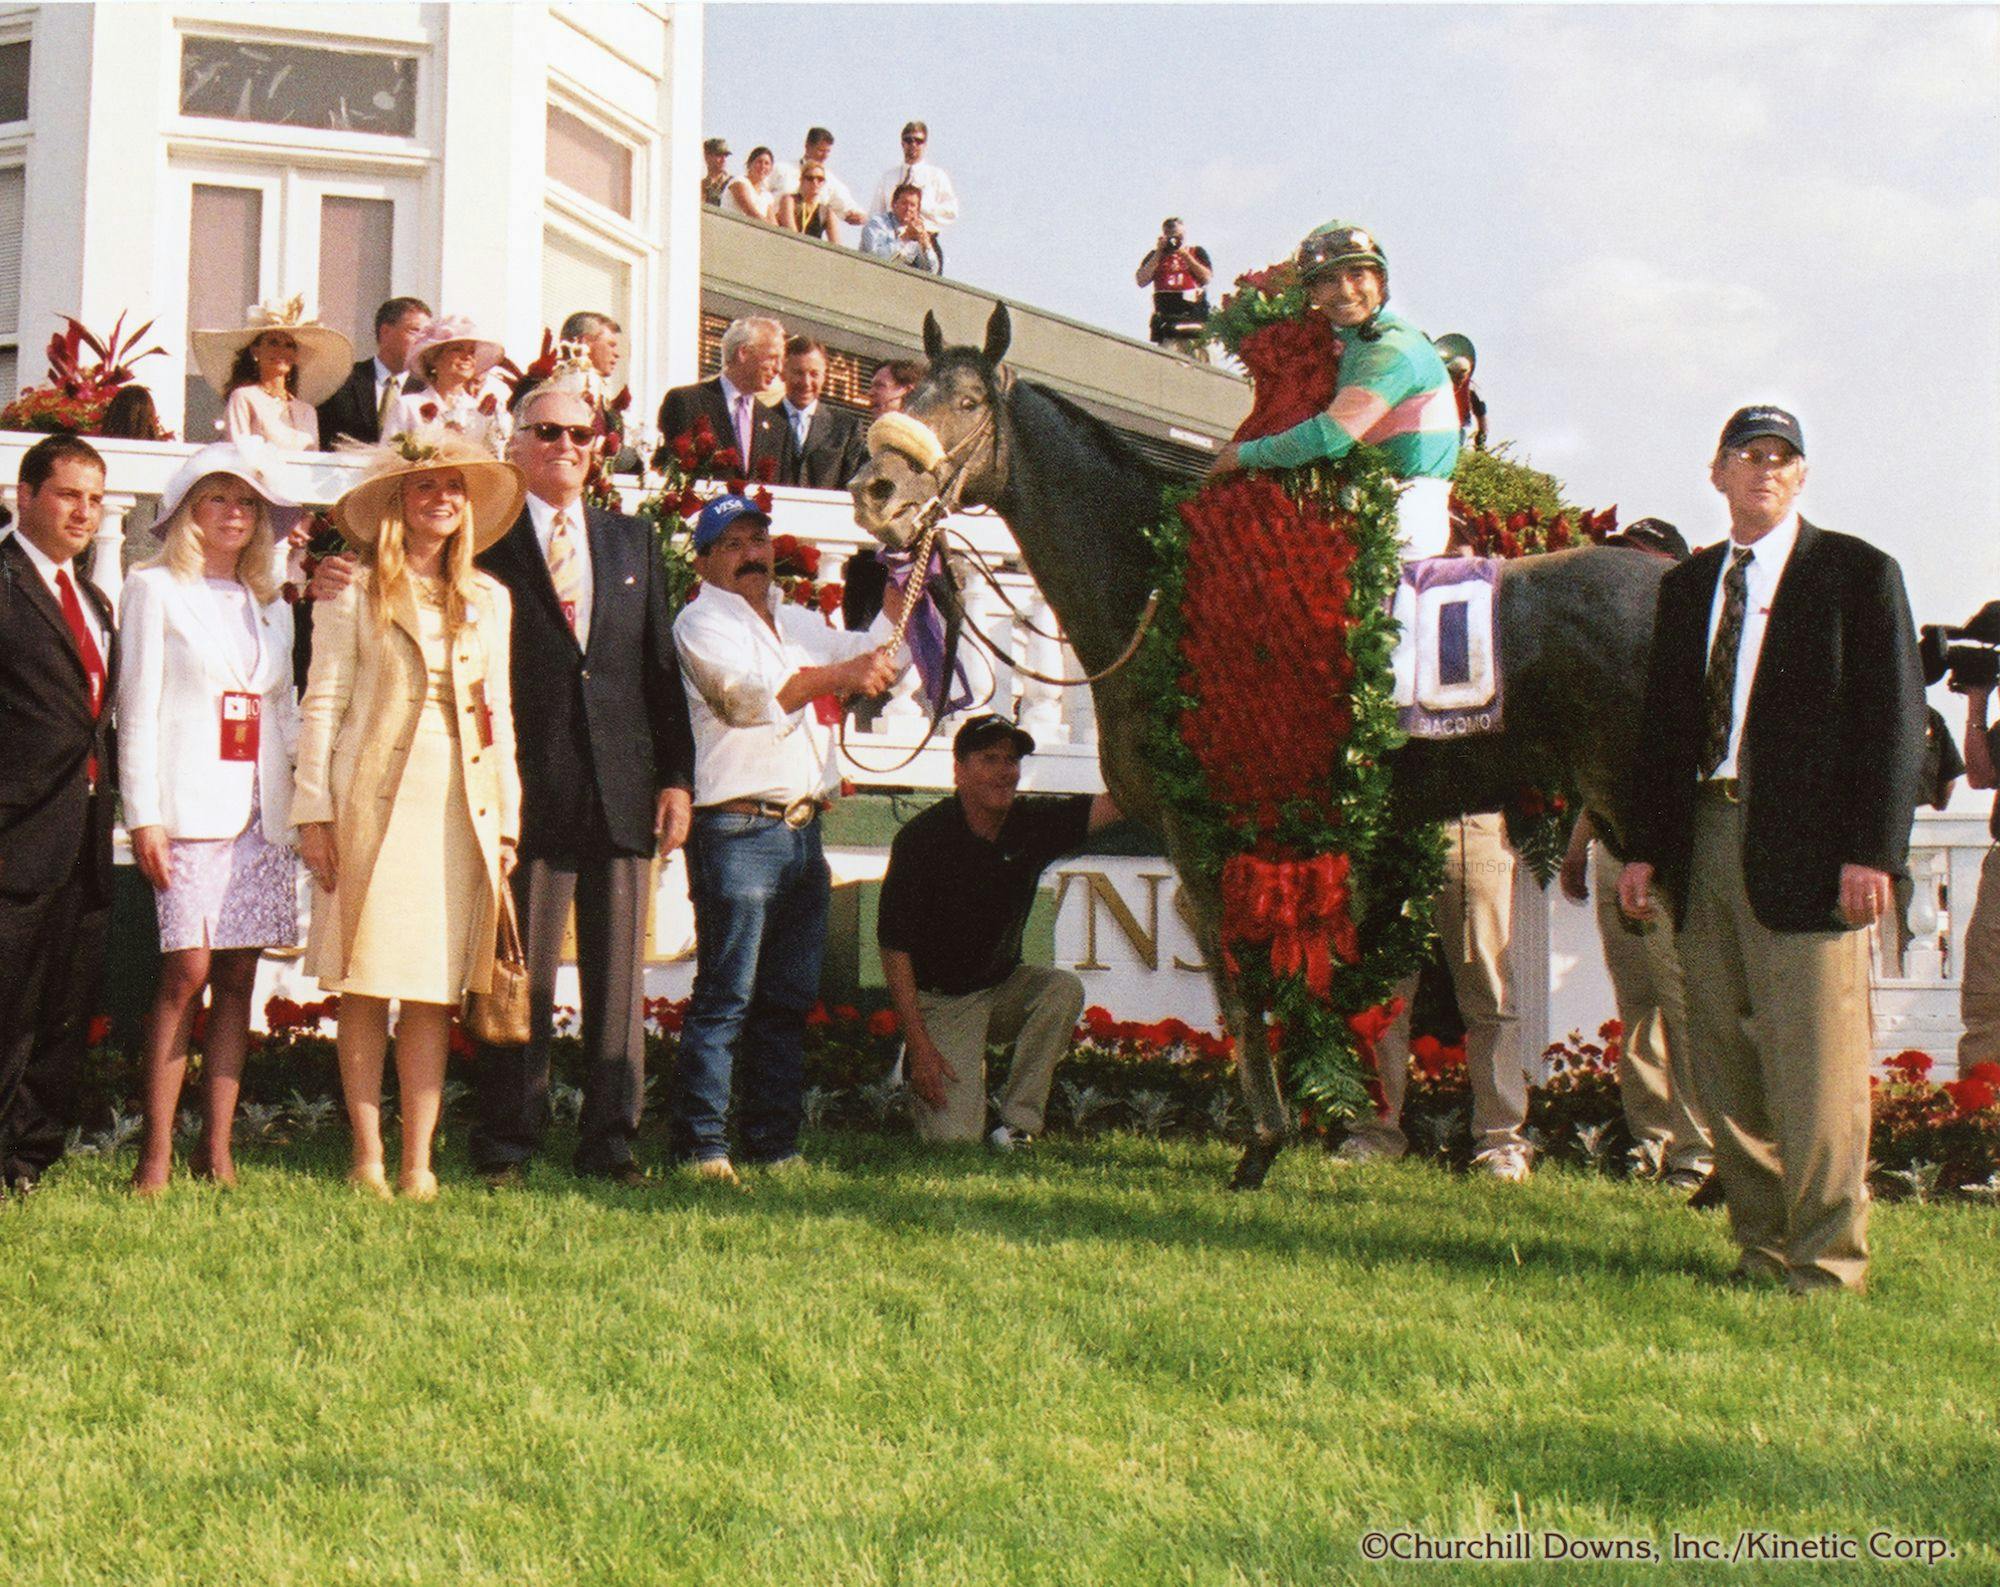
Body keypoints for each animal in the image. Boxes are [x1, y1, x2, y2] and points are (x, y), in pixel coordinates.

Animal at [852, 303, 1664, 1183]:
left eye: (966, 402)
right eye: (911, 389)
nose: (874, 492)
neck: (1168, 595)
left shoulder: (1198, 828)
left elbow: (1239, 983)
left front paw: (1264, 1142)